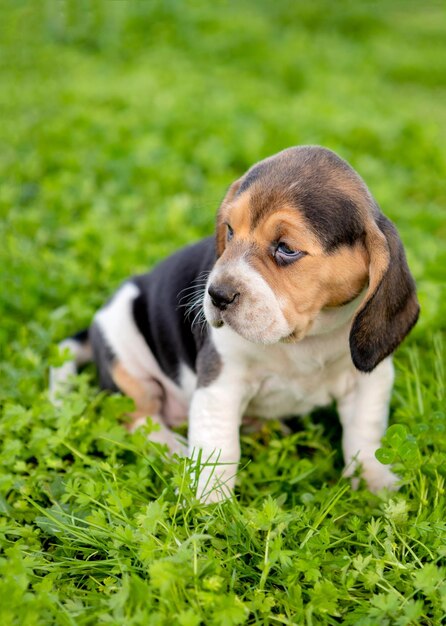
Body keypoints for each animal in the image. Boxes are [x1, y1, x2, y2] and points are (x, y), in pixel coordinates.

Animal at [50, 146, 420, 502]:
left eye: (286, 249)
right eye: (229, 230)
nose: (217, 294)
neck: (304, 339)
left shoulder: (370, 381)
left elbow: (365, 436)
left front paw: (376, 485)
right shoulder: (220, 383)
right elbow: (218, 446)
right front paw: (208, 505)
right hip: (125, 353)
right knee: (141, 420)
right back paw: (176, 451)